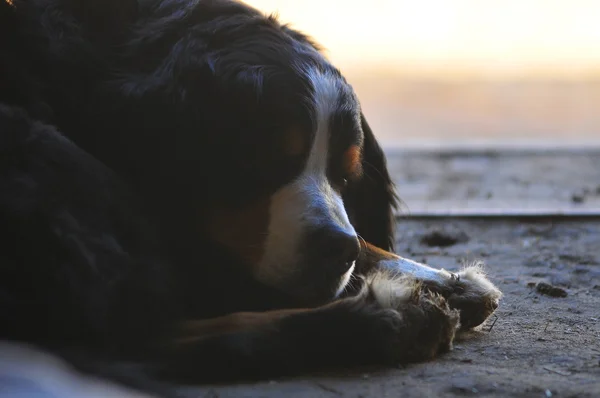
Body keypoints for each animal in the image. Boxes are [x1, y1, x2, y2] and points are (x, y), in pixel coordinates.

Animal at [1, 0, 502, 386]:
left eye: (344, 176)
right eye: (264, 160)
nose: (336, 249)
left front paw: (445, 280)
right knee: (137, 339)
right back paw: (396, 318)